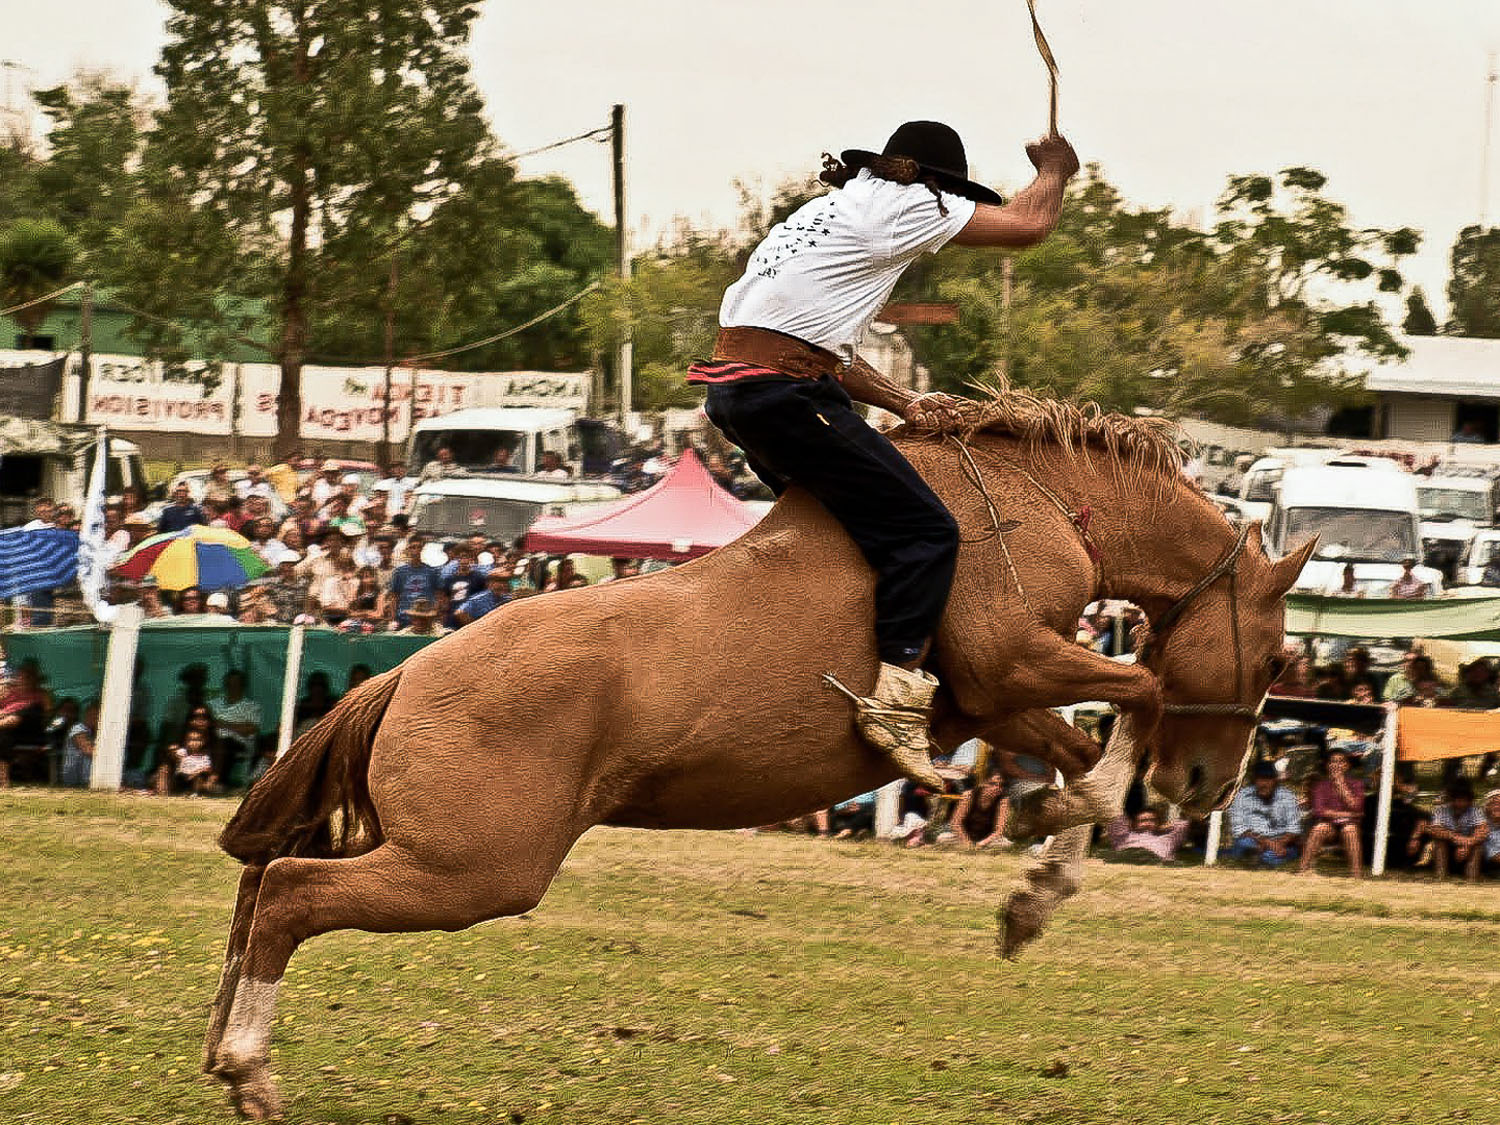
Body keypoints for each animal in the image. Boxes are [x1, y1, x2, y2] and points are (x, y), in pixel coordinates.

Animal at [202, 390, 1314, 1122]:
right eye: (1273, 653)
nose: (1209, 785)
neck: (1034, 499)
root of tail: (404, 676)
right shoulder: (1009, 663)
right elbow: (1139, 696)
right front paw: (1052, 837)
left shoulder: (992, 701)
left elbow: (1083, 748)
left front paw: (1035, 888)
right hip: (472, 868)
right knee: (291, 891)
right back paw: (251, 1068)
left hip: (441, 858)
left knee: (261, 890)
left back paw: (221, 1046)